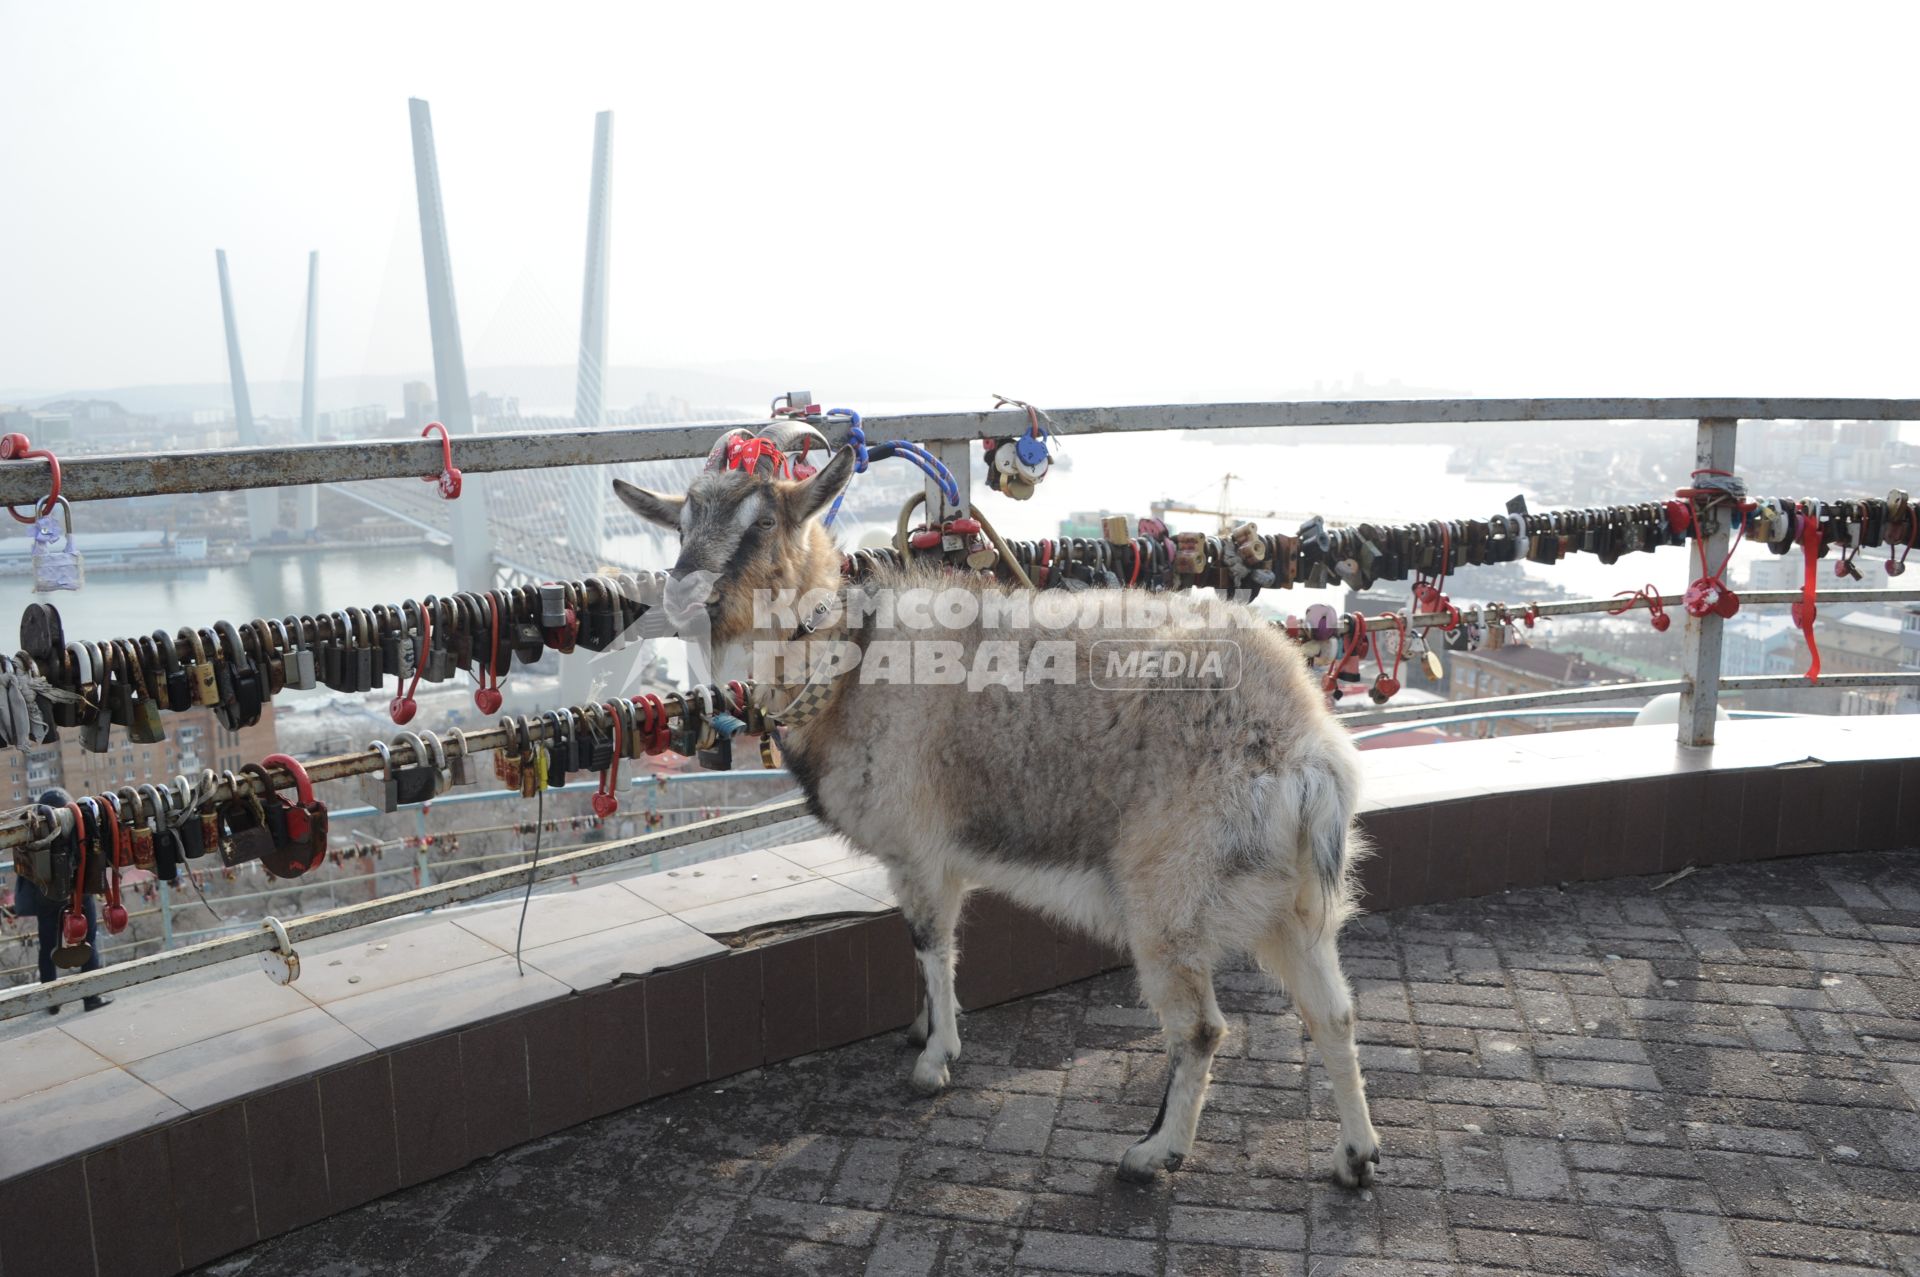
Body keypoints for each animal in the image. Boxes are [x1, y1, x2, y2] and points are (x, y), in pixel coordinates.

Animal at [614, 430, 1382, 1182]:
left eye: (763, 524)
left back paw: (1155, 1152)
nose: (684, 597)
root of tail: (1306, 752)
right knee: (1335, 1014)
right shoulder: (946, 856)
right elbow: (944, 947)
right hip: (1295, 900)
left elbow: (930, 945)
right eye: (681, 523)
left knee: (1201, 1028)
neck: (846, 669)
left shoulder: (917, 847)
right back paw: (1356, 1154)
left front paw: (934, 1062)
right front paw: (925, 1029)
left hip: (1172, 889)